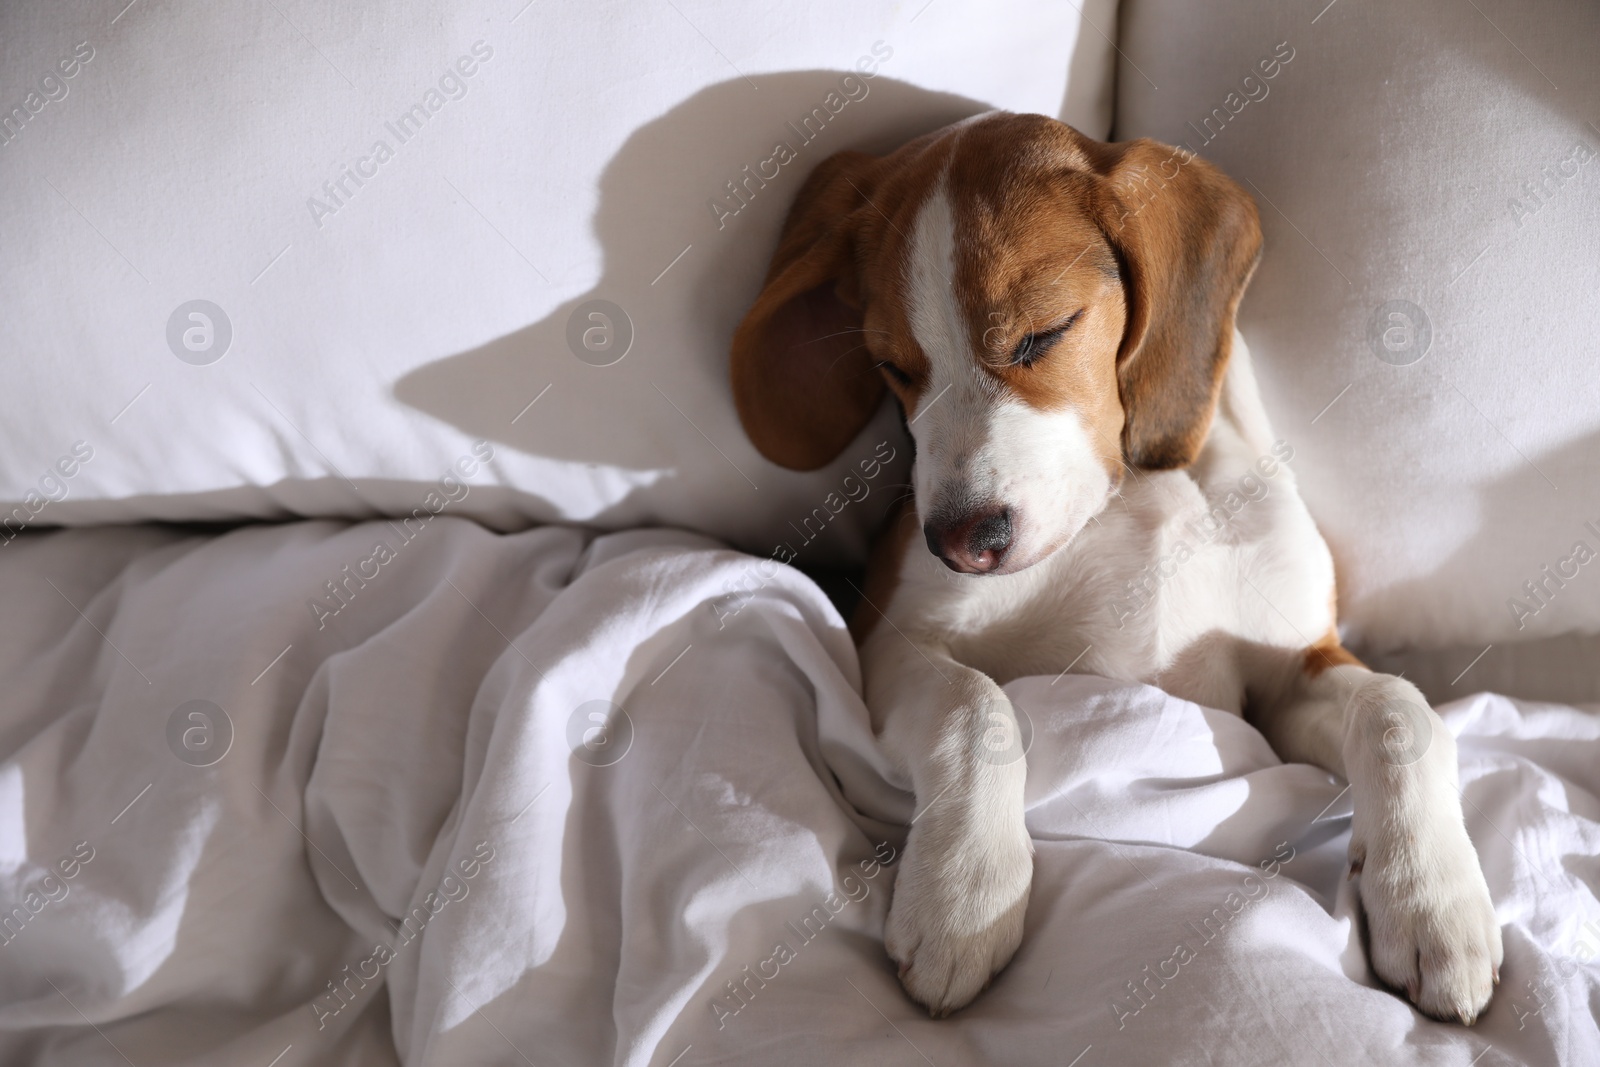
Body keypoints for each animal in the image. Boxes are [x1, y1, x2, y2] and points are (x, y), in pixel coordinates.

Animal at [726, 112, 1497, 1023]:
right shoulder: (888, 637)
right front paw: (965, 892)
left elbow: (1397, 707)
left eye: (1043, 333)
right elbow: (972, 705)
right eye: (895, 368)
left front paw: (1433, 900)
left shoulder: (1289, 676)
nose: (958, 541)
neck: (1135, 491)